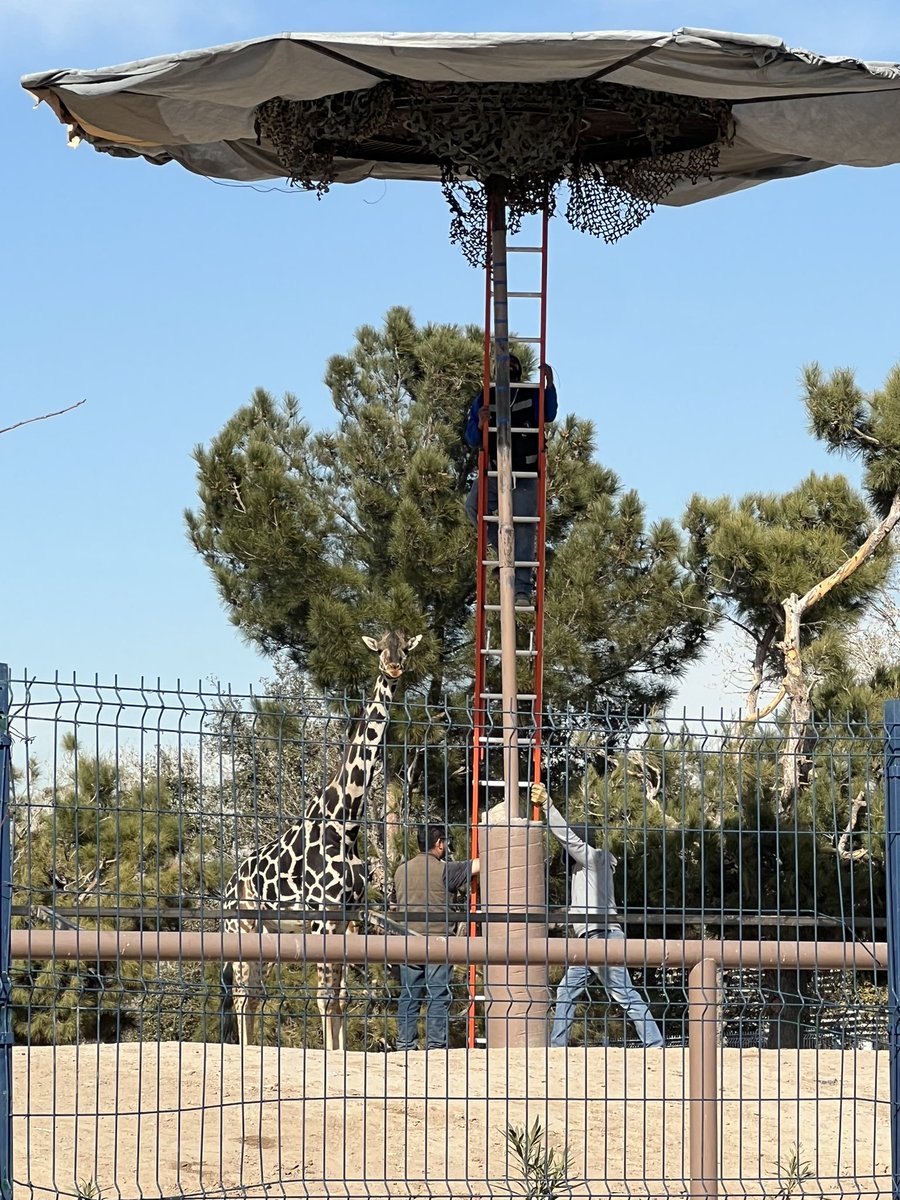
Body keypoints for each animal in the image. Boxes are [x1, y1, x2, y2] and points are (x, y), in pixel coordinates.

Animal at [223, 630, 422, 1051]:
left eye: (405, 647)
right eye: (380, 648)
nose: (394, 667)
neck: (345, 823)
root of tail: (228, 885)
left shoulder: (347, 917)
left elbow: (341, 997)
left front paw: (343, 1052)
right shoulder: (320, 916)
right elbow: (324, 996)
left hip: (270, 935)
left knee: (254, 995)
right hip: (241, 929)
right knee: (243, 994)